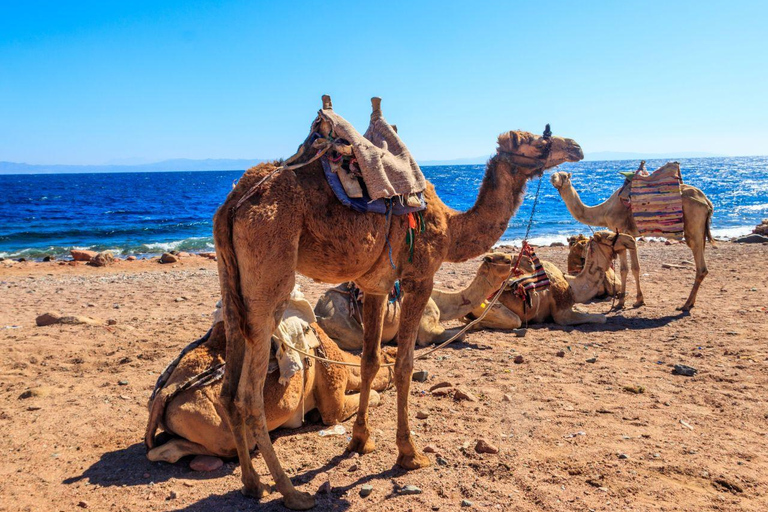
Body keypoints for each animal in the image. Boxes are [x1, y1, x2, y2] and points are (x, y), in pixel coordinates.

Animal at [313, 252, 513, 350]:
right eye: (506, 260)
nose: (515, 261)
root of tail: (317, 311)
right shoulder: (427, 329)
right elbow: (460, 335)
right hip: (343, 323)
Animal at [467, 231, 636, 328]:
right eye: (610, 237)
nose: (632, 240)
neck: (572, 285)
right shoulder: (562, 314)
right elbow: (602, 318)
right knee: (513, 321)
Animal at [551, 163, 714, 311]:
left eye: (564, 176)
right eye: (555, 174)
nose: (552, 177)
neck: (604, 211)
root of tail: (707, 202)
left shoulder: (620, 231)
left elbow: (624, 269)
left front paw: (620, 303)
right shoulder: (631, 236)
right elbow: (636, 268)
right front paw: (639, 301)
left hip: (693, 225)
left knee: (701, 266)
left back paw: (685, 305)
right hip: (700, 230)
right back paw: (690, 303)